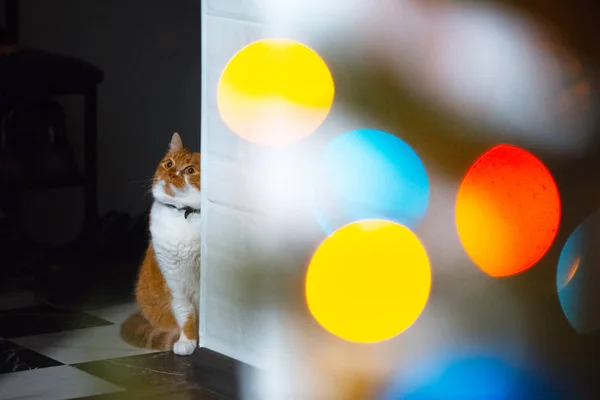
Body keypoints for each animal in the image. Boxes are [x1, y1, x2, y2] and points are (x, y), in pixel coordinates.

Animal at [121, 133, 202, 354]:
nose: (172, 173)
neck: (183, 214)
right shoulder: (174, 280)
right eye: (169, 164)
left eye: (189, 170)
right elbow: (185, 312)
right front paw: (187, 341)